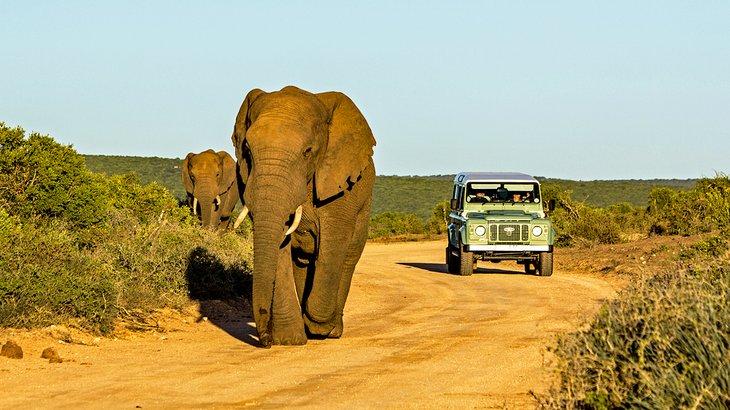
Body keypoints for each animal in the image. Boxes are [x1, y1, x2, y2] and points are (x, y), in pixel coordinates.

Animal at [231, 85, 376, 347]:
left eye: (307, 152)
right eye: (247, 150)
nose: (265, 340)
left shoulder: (339, 187)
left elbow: (333, 244)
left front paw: (318, 326)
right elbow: (280, 249)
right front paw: (289, 340)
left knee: (348, 256)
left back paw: (330, 331)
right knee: (302, 262)